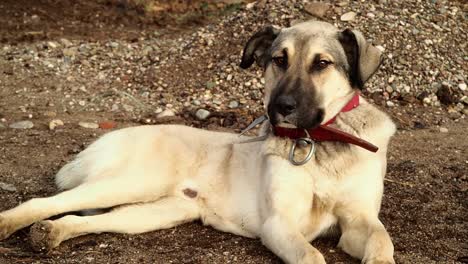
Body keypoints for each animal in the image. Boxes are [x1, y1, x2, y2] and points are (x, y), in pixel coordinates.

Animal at [0, 21, 394, 264]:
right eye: (278, 60)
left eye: (322, 64)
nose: (281, 108)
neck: (319, 142)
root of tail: (112, 135)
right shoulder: (280, 223)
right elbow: (311, 254)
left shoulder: (357, 220)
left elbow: (381, 239)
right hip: (134, 181)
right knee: (48, 201)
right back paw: (12, 223)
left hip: (157, 212)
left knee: (94, 219)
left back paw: (53, 231)